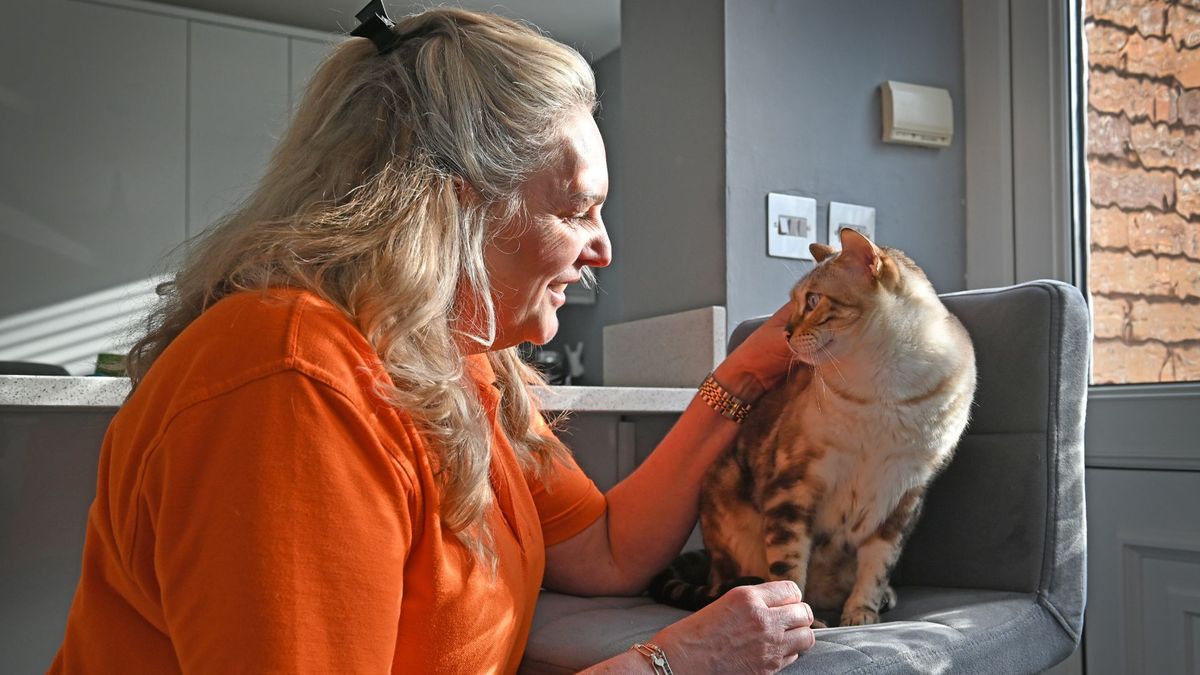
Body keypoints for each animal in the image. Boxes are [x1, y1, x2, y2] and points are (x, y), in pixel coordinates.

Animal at [652, 227, 979, 624]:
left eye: (813, 300)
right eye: (792, 303)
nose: (785, 333)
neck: (885, 389)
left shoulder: (904, 496)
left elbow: (876, 567)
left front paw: (860, 616)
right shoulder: (795, 485)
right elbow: (790, 569)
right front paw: (806, 622)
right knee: (727, 581)